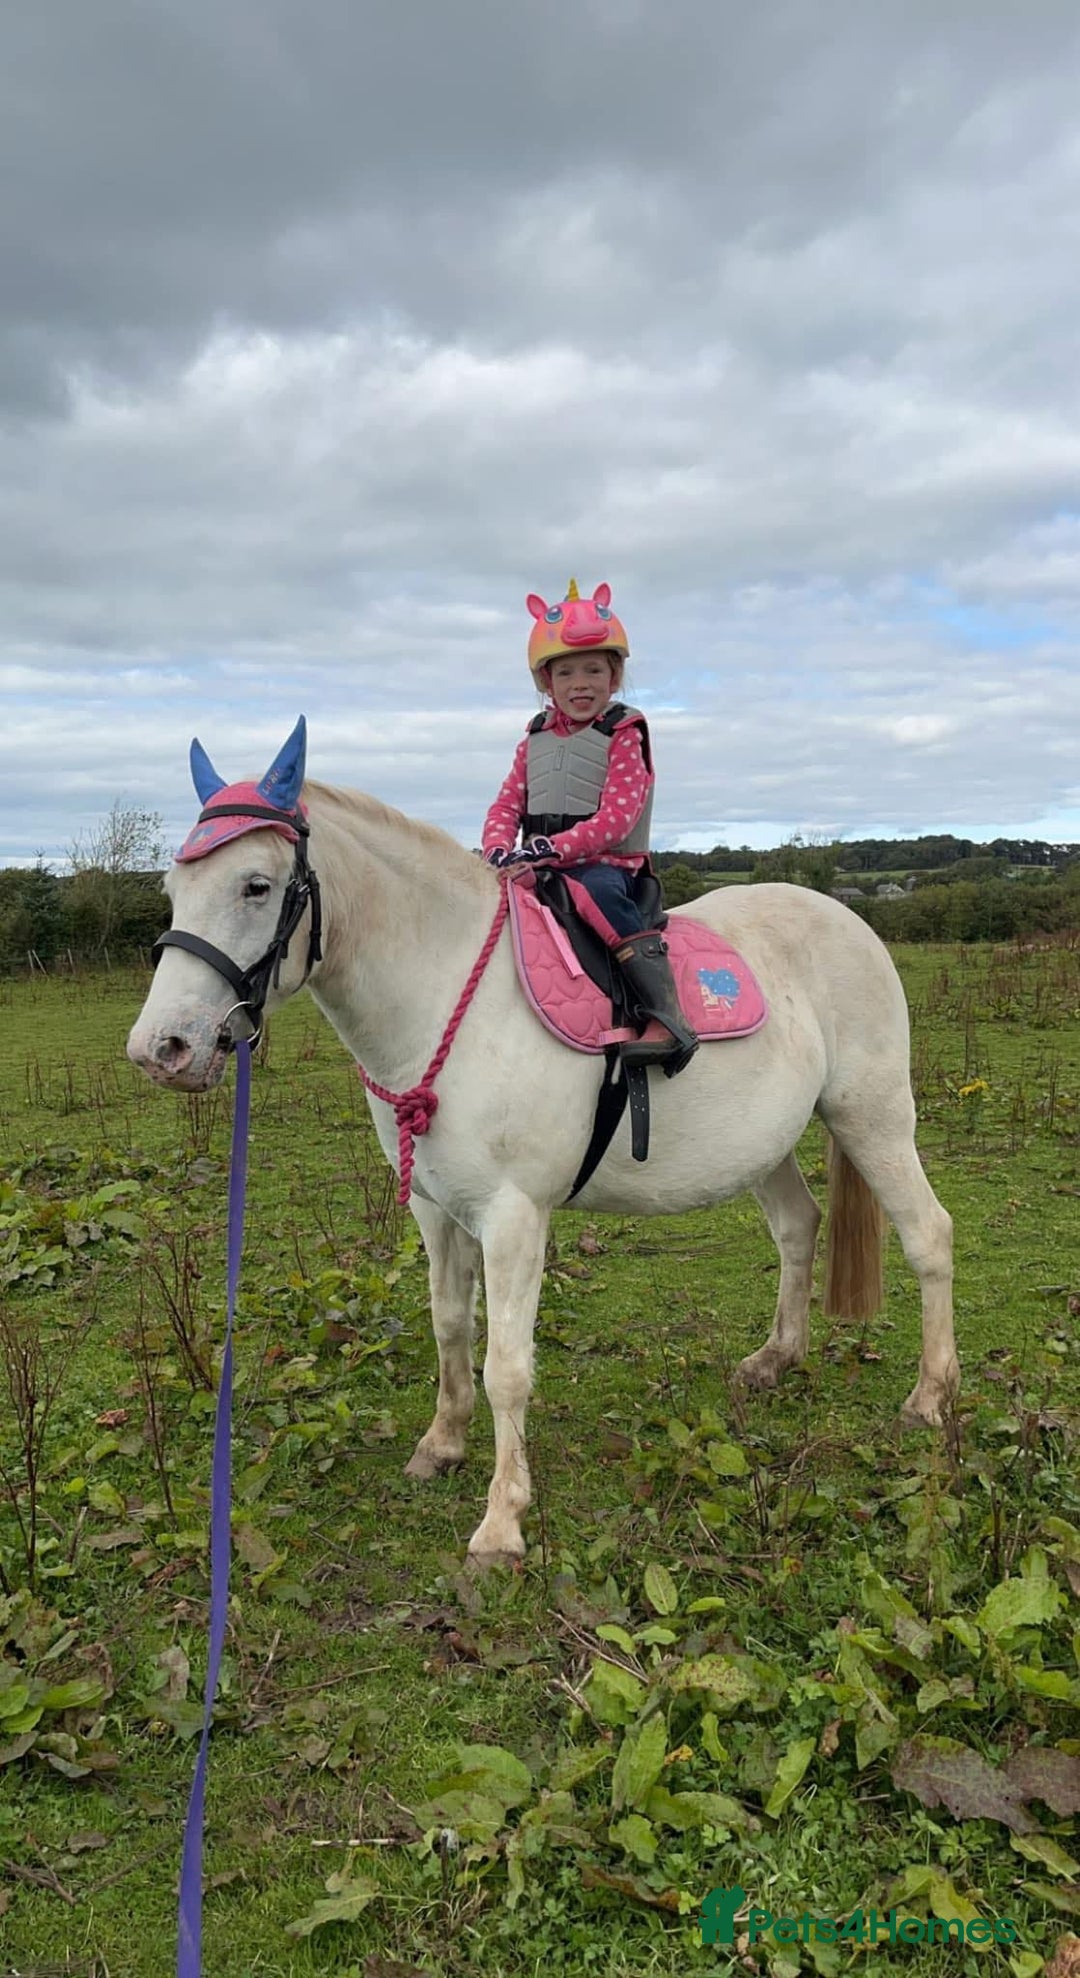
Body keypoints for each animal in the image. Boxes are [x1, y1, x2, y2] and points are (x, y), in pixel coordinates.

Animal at [127, 720, 959, 1564]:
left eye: (256, 886)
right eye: (172, 890)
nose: (162, 1048)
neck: (444, 994)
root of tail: (848, 921)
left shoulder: (514, 1216)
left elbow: (507, 1367)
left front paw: (502, 1521)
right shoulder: (435, 1209)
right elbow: (449, 1324)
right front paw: (442, 1443)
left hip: (872, 1117)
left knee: (929, 1235)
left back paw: (930, 1396)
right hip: (768, 1142)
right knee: (797, 1227)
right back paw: (776, 1358)